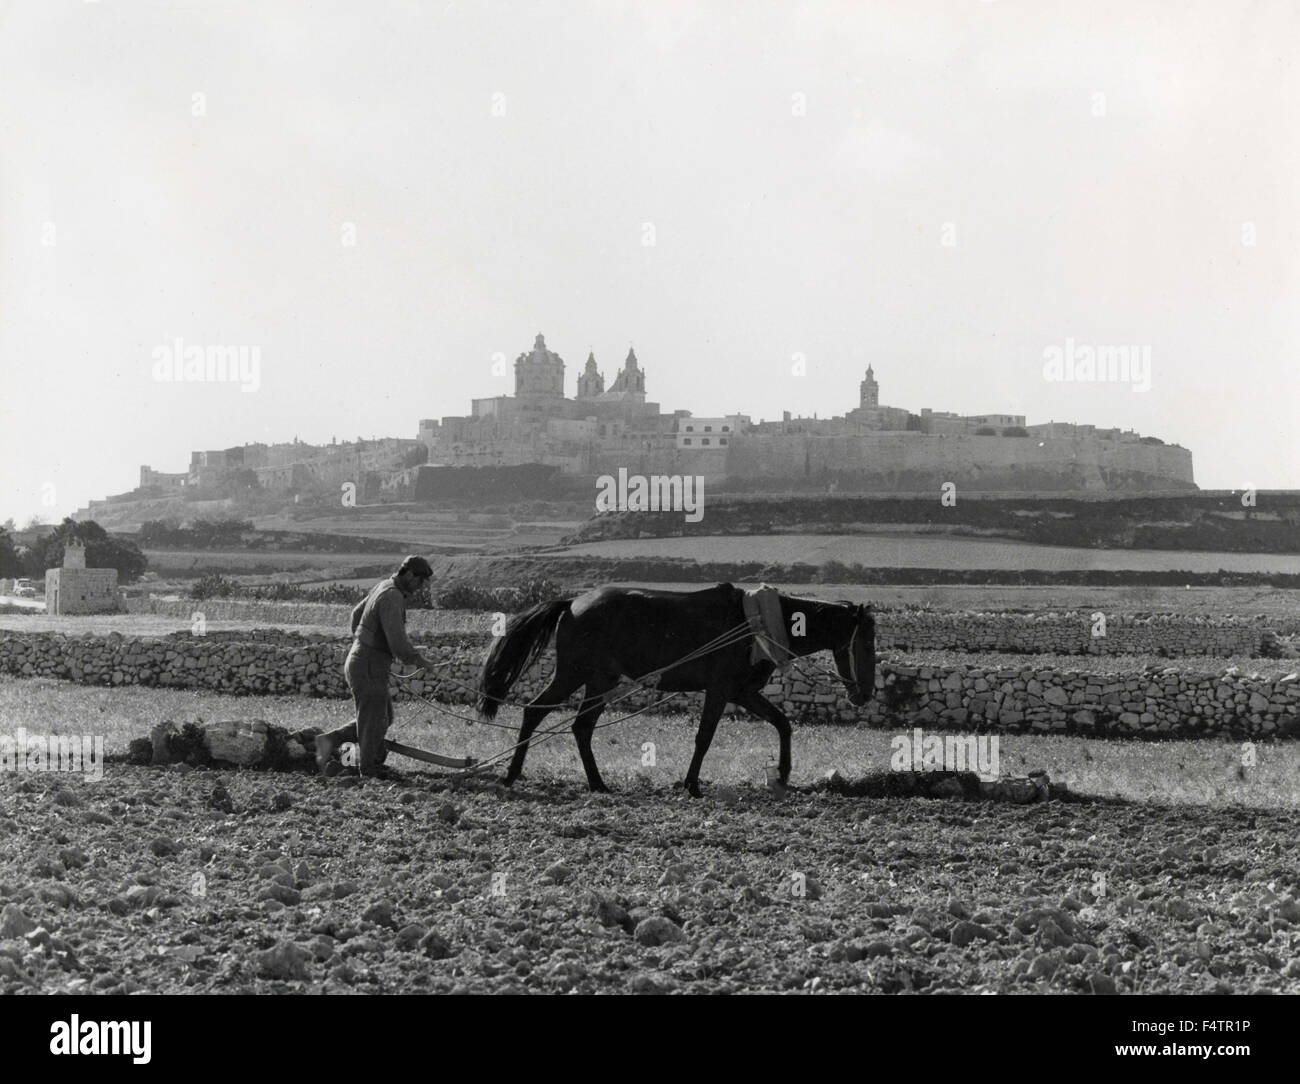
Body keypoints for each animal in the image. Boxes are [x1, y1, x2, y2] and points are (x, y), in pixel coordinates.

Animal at [478, 582, 873, 795]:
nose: (865, 694)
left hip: (598, 680)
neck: (757, 624)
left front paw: (784, 774)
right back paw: (514, 774)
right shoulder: (720, 690)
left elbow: (783, 724)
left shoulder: (743, 693)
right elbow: (704, 737)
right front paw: (691, 784)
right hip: (574, 674)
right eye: (865, 640)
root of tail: (572, 603)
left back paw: (594, 782)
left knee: (579, 727)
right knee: (536, 711)